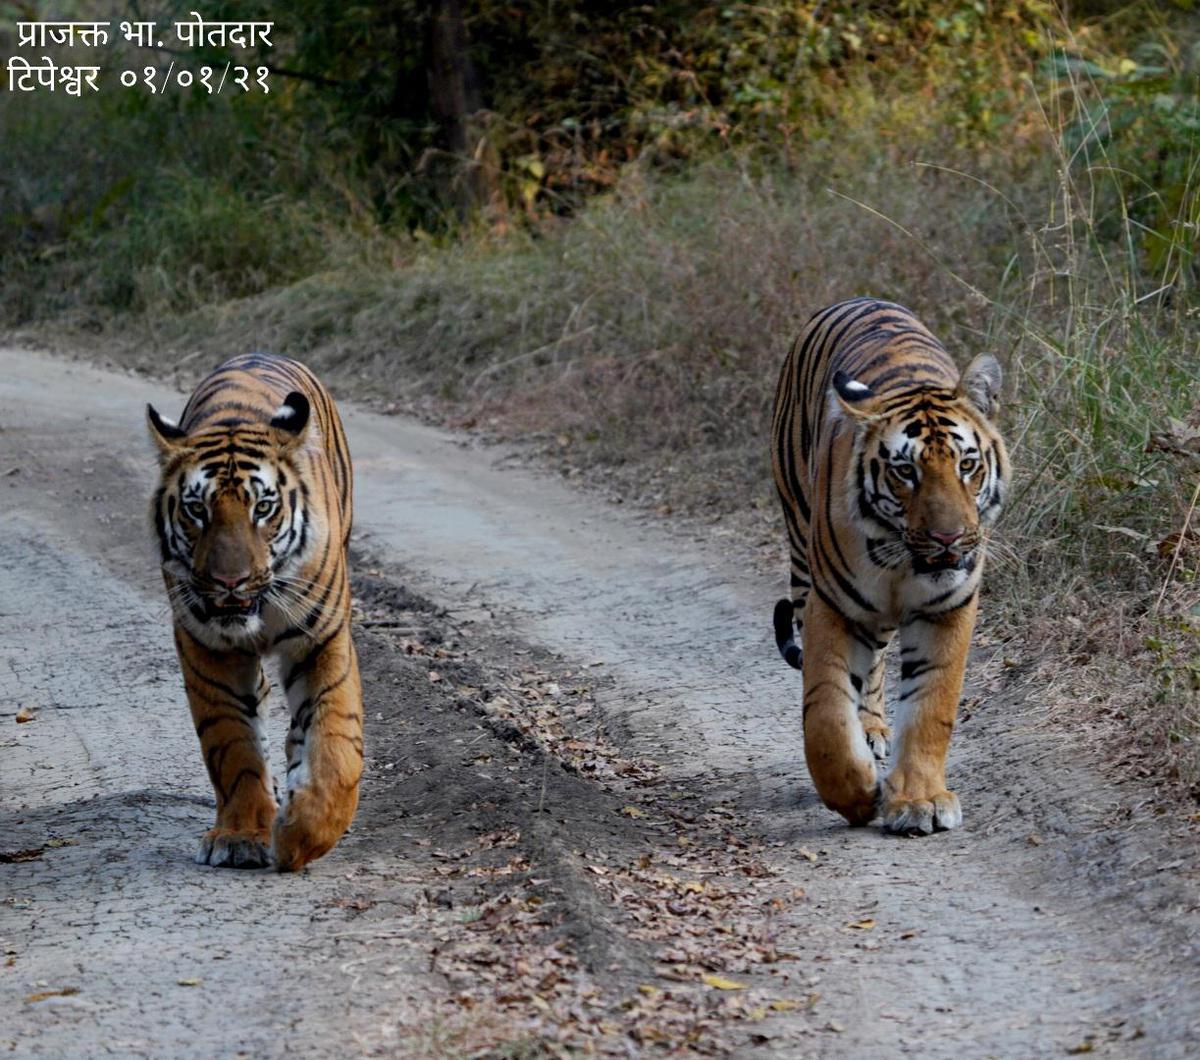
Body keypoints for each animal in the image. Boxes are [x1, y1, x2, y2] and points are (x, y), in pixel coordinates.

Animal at [147, 355, 360, 869]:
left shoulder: (322, 639)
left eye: (263, 507)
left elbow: (338, 748)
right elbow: (232, 745)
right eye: (196, 510)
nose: (231, 581)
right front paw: (242, 836)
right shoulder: (206, 648)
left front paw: (302, 835)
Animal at [772, 298, 1008, 835]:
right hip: (801, 548)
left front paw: (920, 801)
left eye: (967, 465)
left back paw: (875, 728)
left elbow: (930, 708)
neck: (903, 564)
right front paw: (856, 795)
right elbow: (825, 712)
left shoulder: (948, 609)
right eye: (906, 472)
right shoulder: (833, 606)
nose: (949, 538)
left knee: (878, 662)